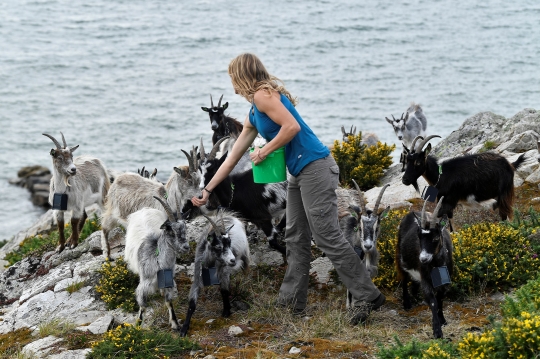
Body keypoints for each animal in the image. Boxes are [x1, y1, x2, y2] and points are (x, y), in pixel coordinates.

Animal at [125, 197, 190, 332]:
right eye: (172, 231)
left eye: (185, 229)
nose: (186, 247)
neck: (158, 262)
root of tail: (144, 209)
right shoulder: (144, 284)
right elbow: (143, 305)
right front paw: (137, 325)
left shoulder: (169, 281)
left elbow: (169, 302)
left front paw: (175, 324)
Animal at [394, 198, 454, 338]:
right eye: (419, 236)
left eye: (436, 237)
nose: (423, 259)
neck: (436, 265)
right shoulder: (426, 279)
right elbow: (433, 301)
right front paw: (437, 331)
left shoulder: (446, 280)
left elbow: (440, 298)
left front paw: (443, 320)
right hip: (400, 258)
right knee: (404, 278)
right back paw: (407, 303)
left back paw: (415, 293)